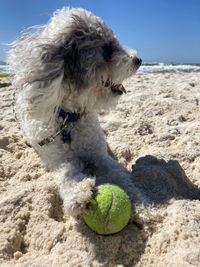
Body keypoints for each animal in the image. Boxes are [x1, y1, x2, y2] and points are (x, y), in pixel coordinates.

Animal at [8, 7, 144, 218]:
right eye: (107, 49)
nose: (138, 60)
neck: (70, 119)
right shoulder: (59, 160)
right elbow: (68, 175)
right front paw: (78, 195)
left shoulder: (99, 156)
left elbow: (120, 175)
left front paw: (144, 205)